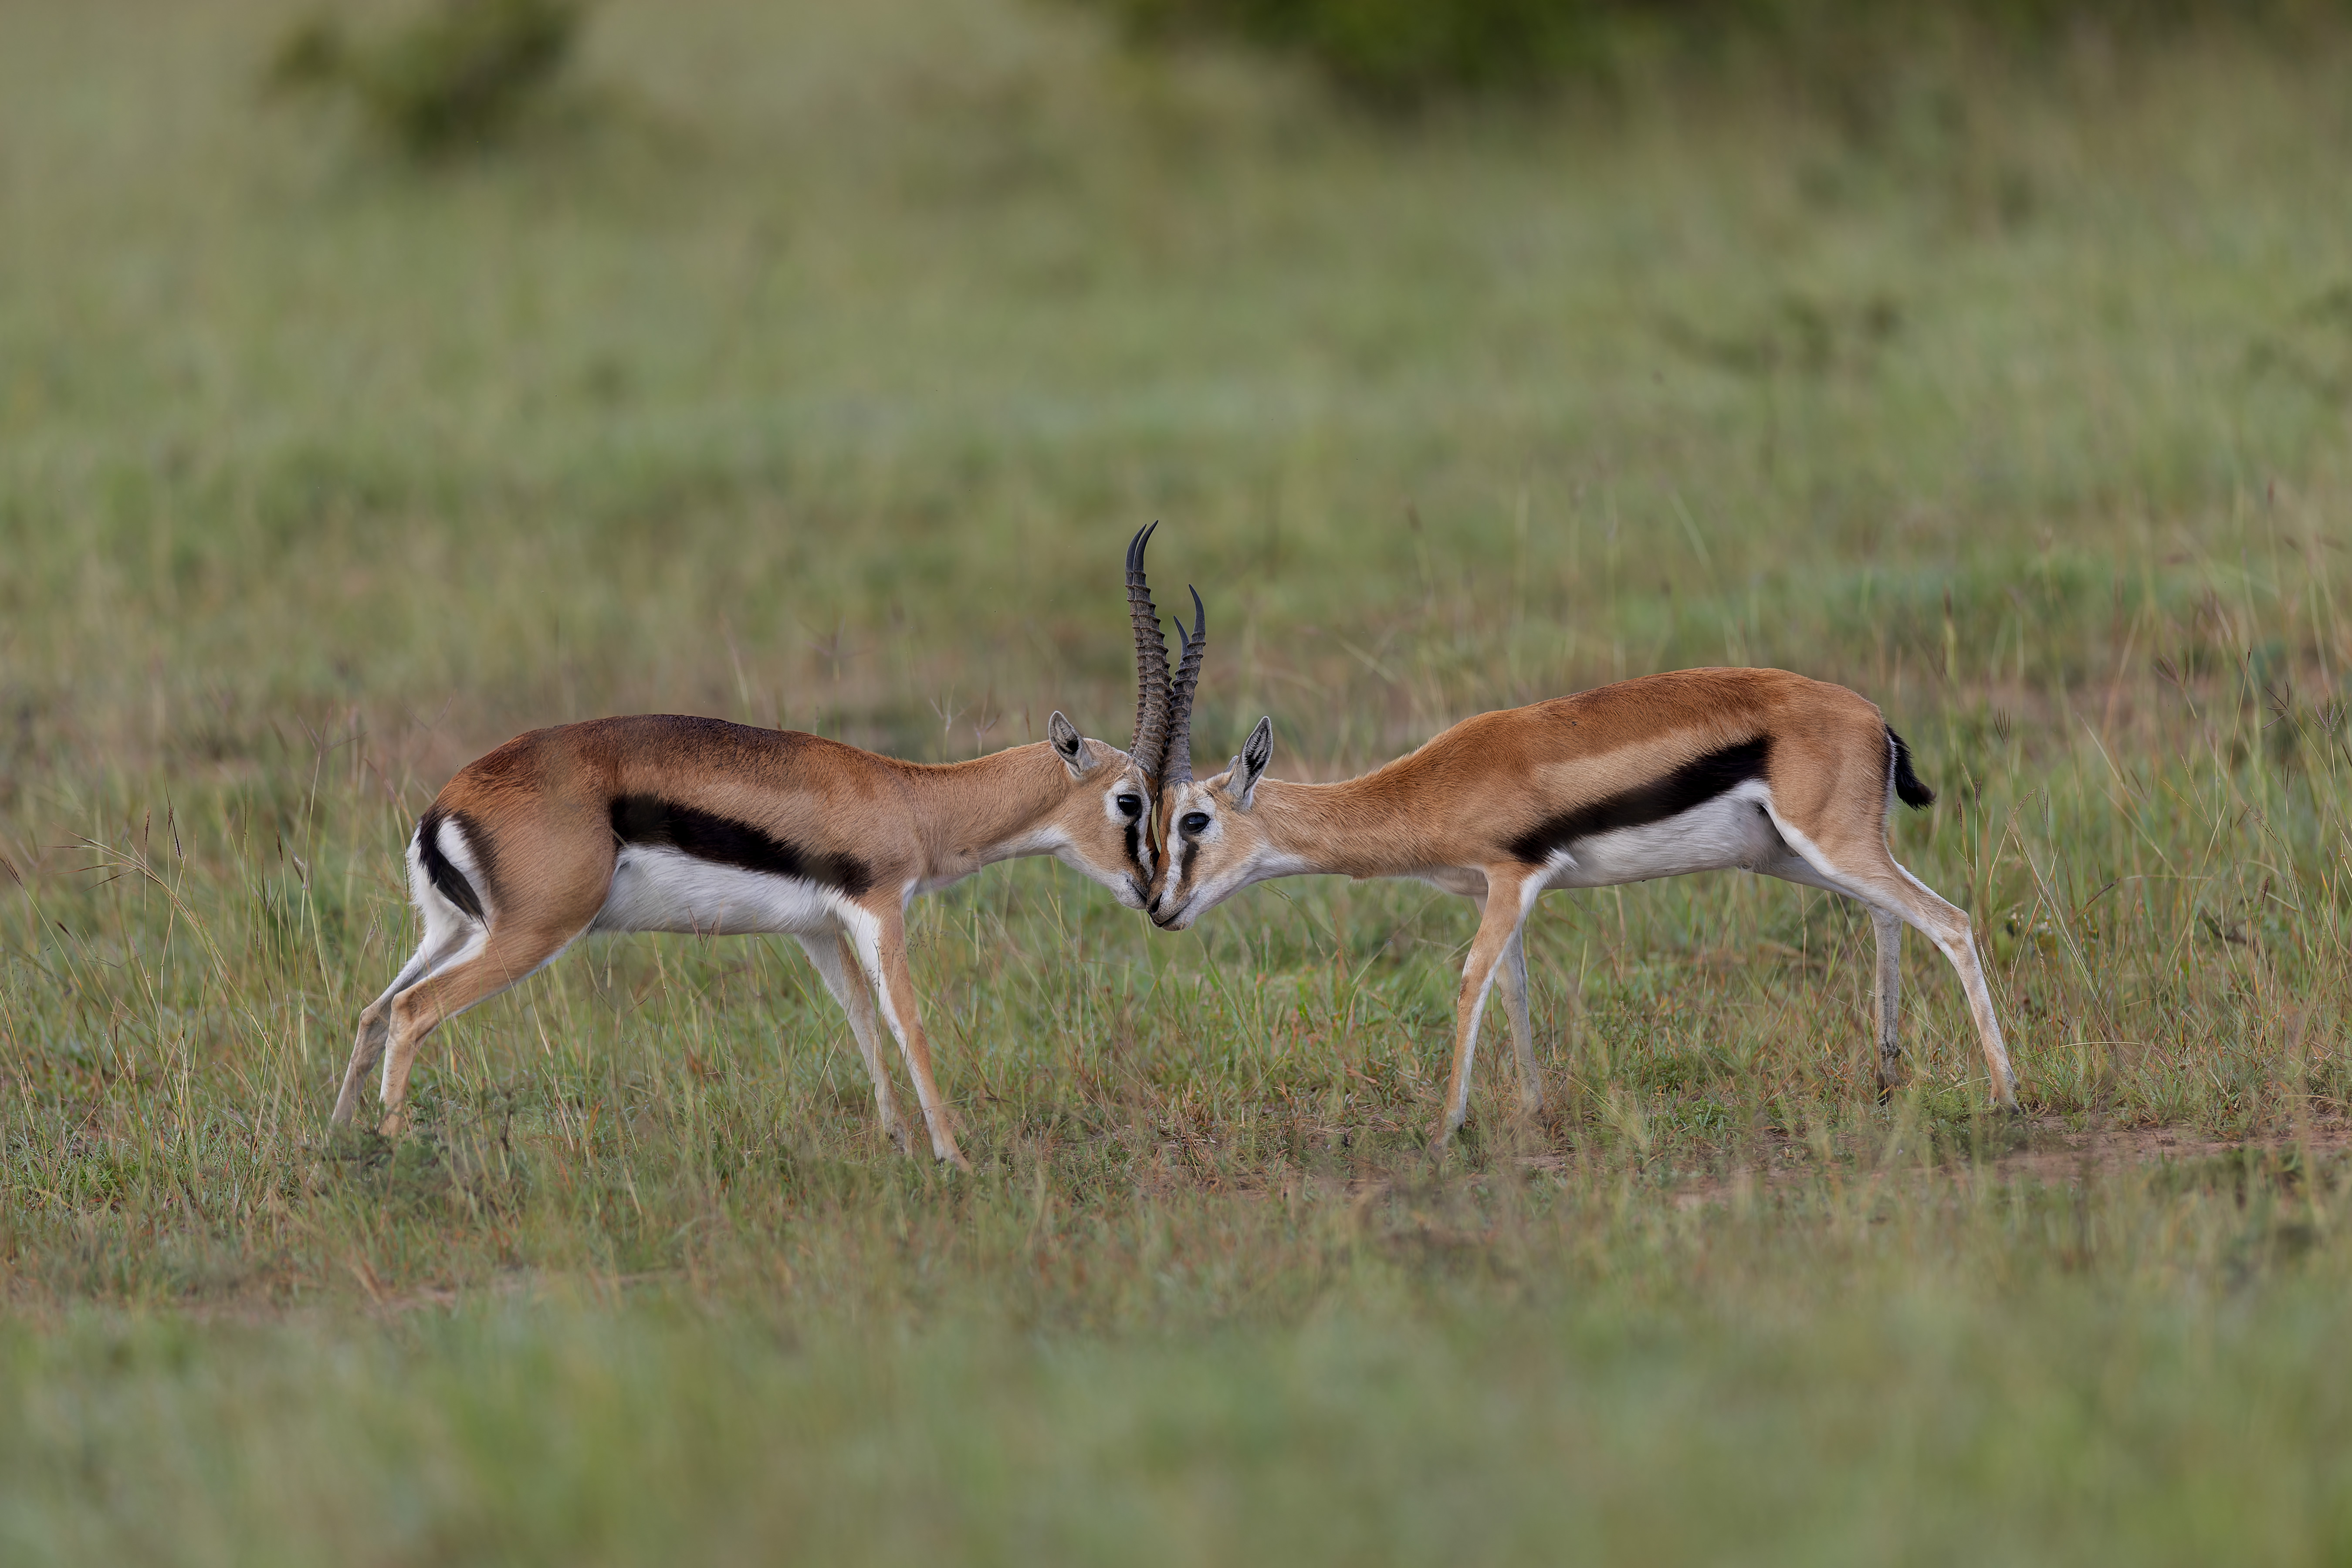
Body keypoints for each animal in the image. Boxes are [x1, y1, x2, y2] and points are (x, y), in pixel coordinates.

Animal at [333, 526, 1196, 1168]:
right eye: (1130, 800)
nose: (1152, 893)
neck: (908, 798)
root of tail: (447, 803)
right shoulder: (879, 909)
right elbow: (908, 1023)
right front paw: (954, 1156)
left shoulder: (818, 928)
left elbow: (860, 1018)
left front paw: (897, 1143)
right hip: (530, 933)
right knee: (411, 1010)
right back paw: (395, 1151)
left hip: (454, 928)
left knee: (373, 1008)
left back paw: (342, 1142)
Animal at [1141, 606, 2019, 1145]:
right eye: (1141, 818)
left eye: (1193, 820)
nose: (1158, 907)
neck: (1434, 784)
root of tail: (1871, 716)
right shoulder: (1500, 890)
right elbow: (1515, 988)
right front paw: (1532, 1112)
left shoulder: (1510, 876)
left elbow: (1471, 982)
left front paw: (1446, 1128)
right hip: (1795, 855)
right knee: (1889, 915)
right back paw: (1885, 1071)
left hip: (1828, 846)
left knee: (1947, 920)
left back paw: (2003, 1096)